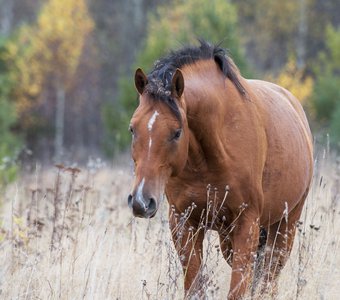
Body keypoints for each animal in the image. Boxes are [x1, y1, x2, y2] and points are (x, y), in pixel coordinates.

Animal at [127, 40, 314, 300]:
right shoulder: (183, 223)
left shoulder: (247, 224)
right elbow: (194, 286)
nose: (141, 202)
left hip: (285, 226)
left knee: (269, 279)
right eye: (132, 129)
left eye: (177, 132)